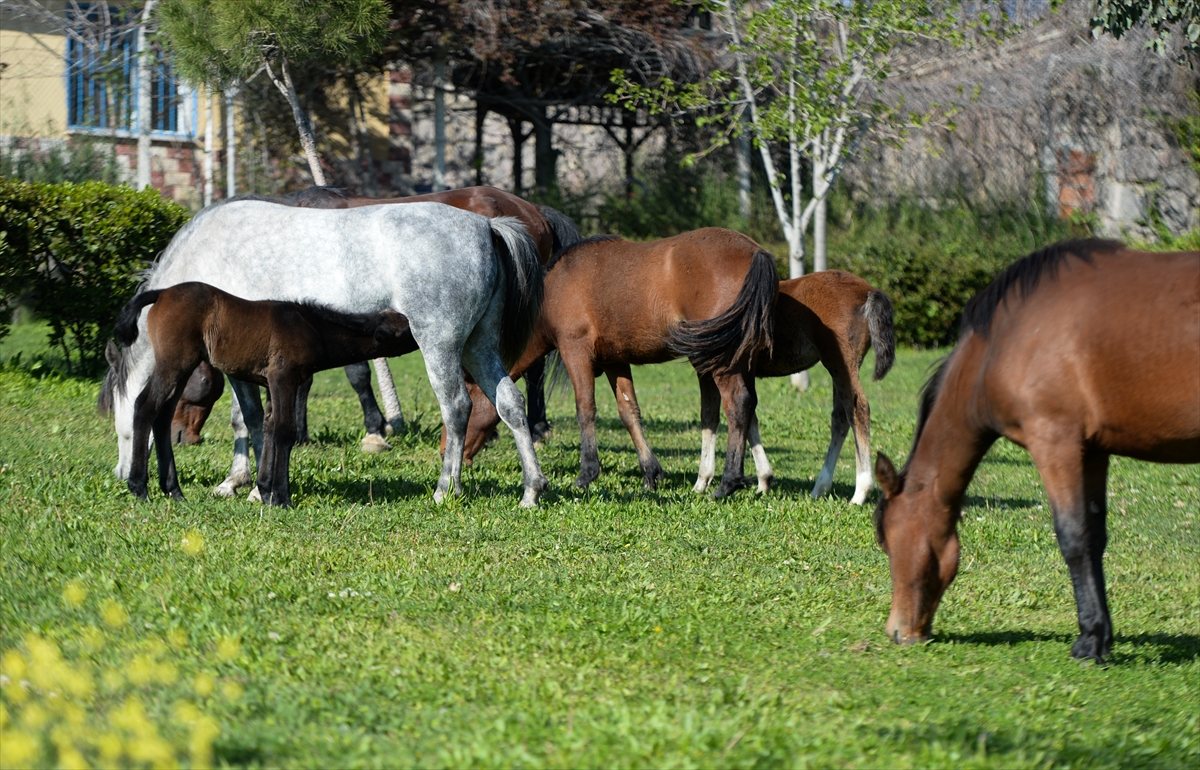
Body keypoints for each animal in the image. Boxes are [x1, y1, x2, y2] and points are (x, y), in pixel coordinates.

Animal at [111, 280, 417, 503]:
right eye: (405, 330)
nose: (422, 337)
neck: (312, 327)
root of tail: (162, 293)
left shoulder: (273, 383)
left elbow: (269, 427)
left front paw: (265, 491)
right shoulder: (283, 377)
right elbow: (284, 430)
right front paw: (281, 497)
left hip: (183, 367)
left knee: (162, 416)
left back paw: (174, 490)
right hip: (174, 363)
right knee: (144, 406)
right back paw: (139, 488)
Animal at [696, 271, 892, 503]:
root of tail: (868, 290)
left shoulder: (710, 368)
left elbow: (711, 416)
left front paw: (702, 482)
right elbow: (749, 414)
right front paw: (764, 482)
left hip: (840, 362)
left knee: (858, 410)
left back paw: (860, 492)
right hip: (840, 366)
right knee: (840, 418)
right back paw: (820, 487)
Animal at [873, 238, 1200, 662]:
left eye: (886, 541)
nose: (898, 631)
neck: (1002, 340)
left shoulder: (1055, 441)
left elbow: (1073, 536)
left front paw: (1089, 642)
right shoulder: (1093, 451)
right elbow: (1095, 537)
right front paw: (1101, 635)